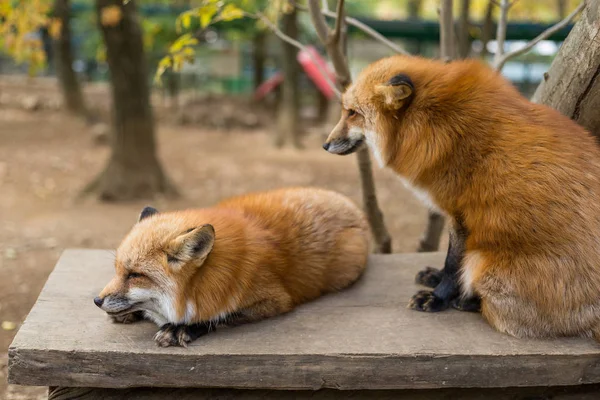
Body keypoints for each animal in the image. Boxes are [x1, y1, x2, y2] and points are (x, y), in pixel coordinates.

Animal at [92, 188, 370, 346]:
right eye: (118, 270)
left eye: (135, 275)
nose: (97, 300)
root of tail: (354, 208)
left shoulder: (275, 300)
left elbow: (221, 316)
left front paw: (183, 328)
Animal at [324, 54, 600, 342]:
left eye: (352, 113)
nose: (325, 144)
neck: (429, 120)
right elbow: (449, 260)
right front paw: (435, 277)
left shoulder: (462, 213)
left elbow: (453, 263)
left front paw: (437, 298)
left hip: (482, 262)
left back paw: (466, 301)